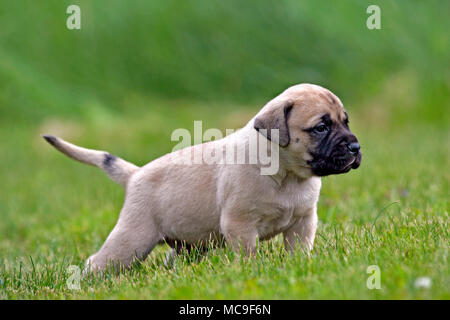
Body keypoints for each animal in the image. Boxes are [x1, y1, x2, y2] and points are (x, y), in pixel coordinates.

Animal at [43, 84, 362, 272]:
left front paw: (300, 266)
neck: (287, 175)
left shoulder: (303, 222)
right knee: (98, 262)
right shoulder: (240, 225)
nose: (355, 147)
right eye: (321, 127)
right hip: (131, 240)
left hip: (189, 245)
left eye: (346, 122)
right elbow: (248, 254)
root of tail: (136, 175)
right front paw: (251, 272)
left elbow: (299, 249)